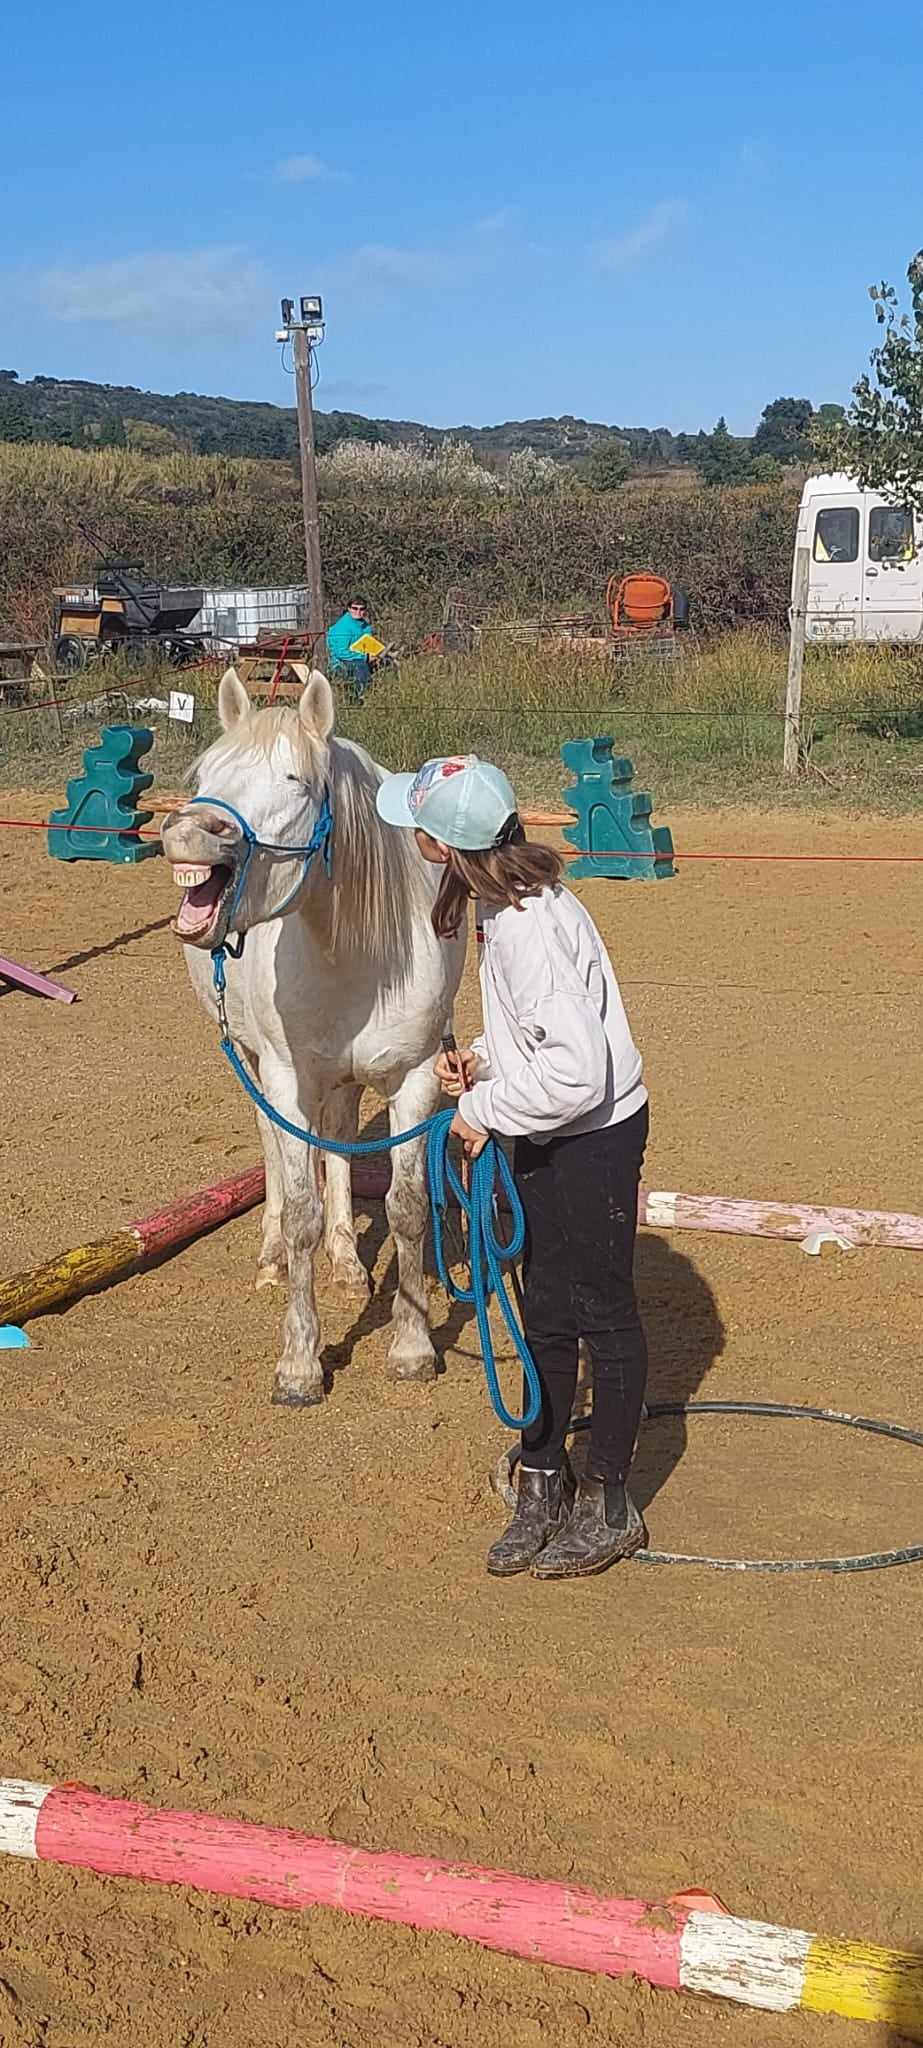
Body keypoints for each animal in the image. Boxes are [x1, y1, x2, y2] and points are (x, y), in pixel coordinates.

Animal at [162, 671, 466, 1409]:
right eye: (203, 775)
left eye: (297, 780)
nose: (187, 834)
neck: (347, 948)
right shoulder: (285, 1076)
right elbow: (299, 1202)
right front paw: (299, 1363)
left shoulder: (414, 1076)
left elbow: (406, 1206)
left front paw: (412, 1347)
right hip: (255, 1061)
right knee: (275, 1149)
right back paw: (274, 1257)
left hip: (348, 1079)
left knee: (340, 1138)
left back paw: (348, 1262)